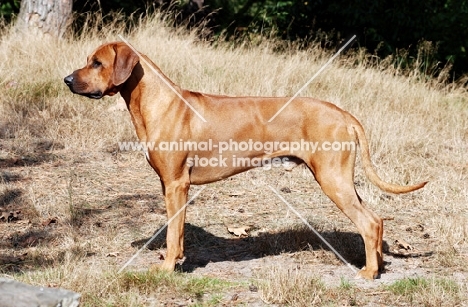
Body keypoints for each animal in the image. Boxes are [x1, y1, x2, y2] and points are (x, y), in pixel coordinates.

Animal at [64, 42, 426, 280]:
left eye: (97, 63)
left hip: (331, 178)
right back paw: (378, 265)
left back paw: (368, 273)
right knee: (376, 219)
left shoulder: (176, 184)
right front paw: (177, 260)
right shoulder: (172, 186)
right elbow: (178, 233)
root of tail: (344, 114)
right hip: (340, 178)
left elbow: (172, 232)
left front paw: (167, 267)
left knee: (369, 223)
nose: (67, 80)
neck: (158, 101)